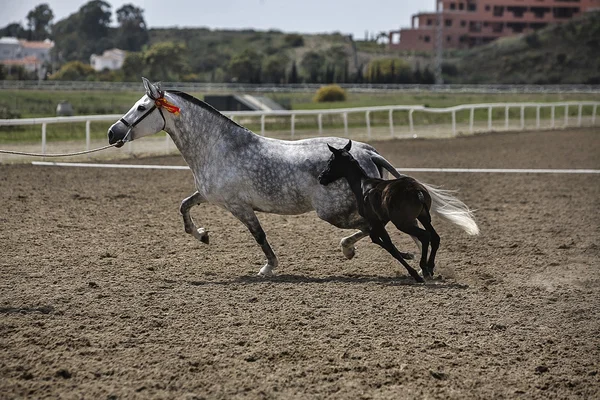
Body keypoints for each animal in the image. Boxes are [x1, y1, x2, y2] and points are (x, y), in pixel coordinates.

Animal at [318, 140, 440, 282]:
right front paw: (408, 256)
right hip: (423, 216)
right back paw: (430, 267)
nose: (321, 177)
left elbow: (388, 245)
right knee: (435, 237)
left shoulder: (375, 221)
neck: (363, 186)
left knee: (425, 236)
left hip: (403, 223)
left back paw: (424, 269)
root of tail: (417, 190)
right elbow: (376, 239)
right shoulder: (381, 220)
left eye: (330, 161)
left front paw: (414, 272)